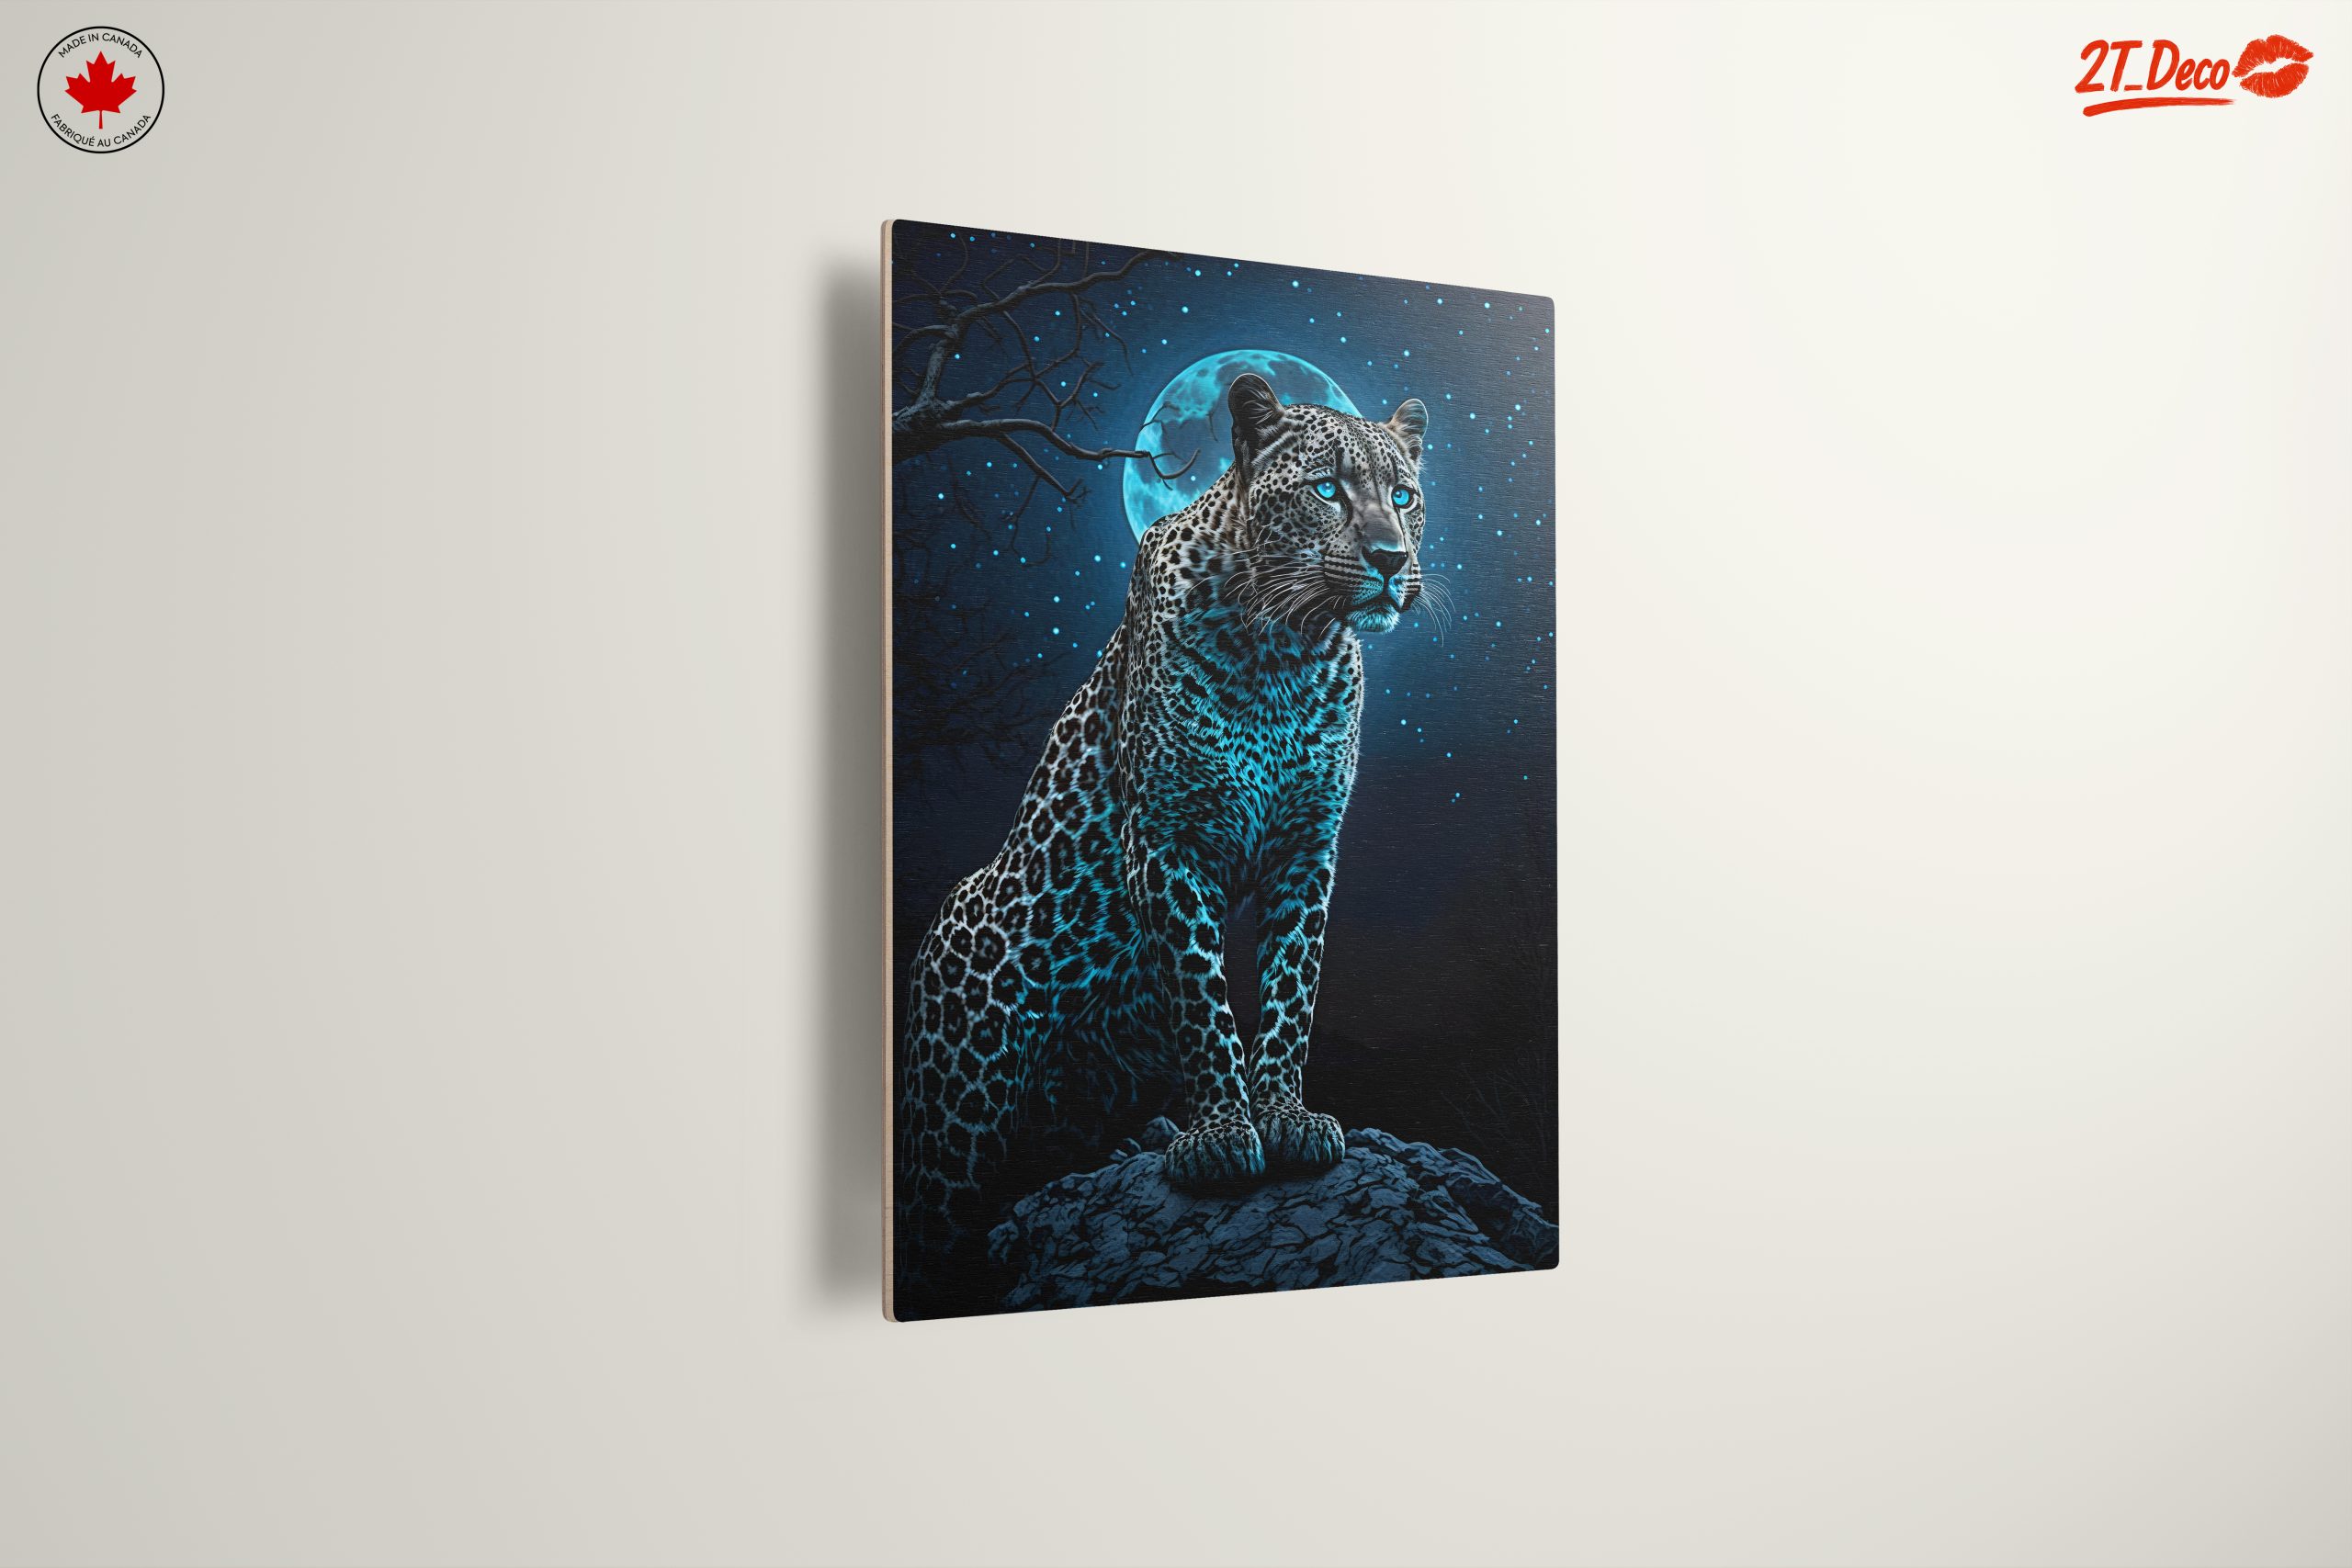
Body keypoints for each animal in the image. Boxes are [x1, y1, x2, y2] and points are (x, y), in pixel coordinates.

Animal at [893, 371, 1431, 1284]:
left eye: (1403, 495)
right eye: (1328, 489)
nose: (1392, 559)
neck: (1285, 646)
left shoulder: (1306, 850)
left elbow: (1291, 990)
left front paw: (1284, 1115)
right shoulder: (1171, 844)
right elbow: (1202, 997)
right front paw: (1219, 1135)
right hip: (959, 1105)